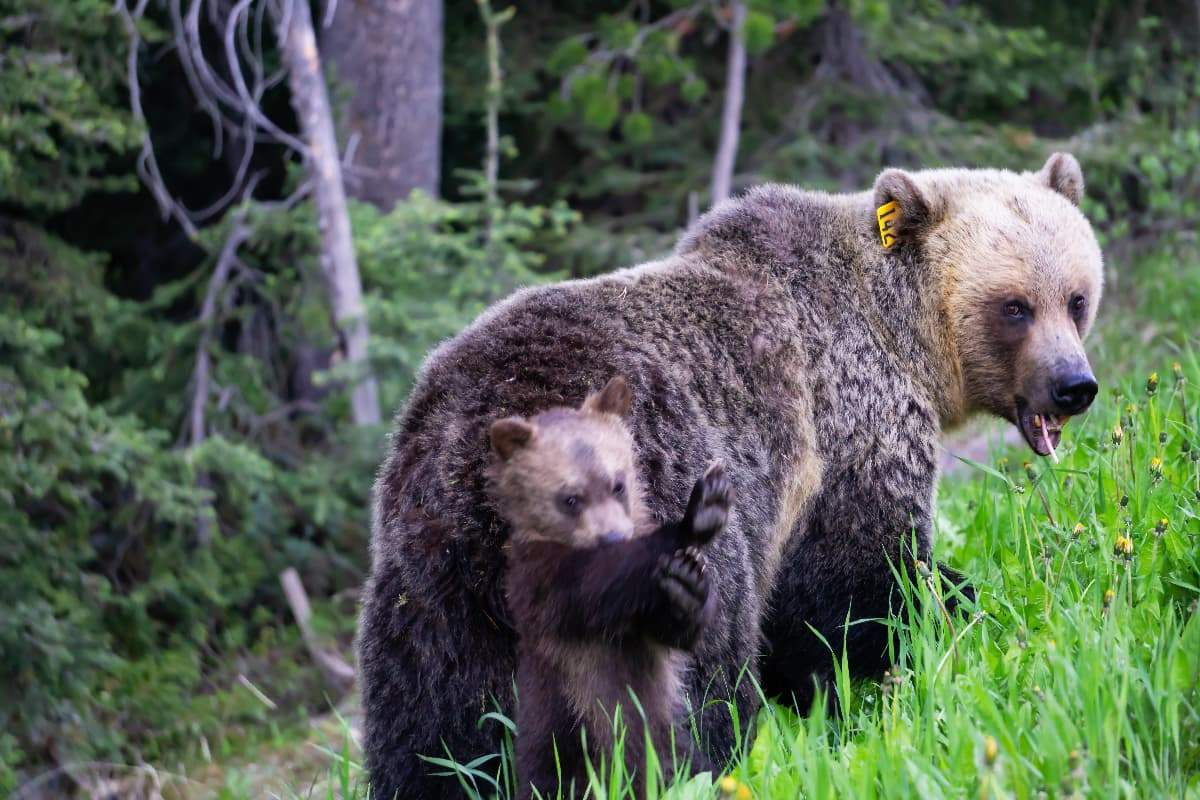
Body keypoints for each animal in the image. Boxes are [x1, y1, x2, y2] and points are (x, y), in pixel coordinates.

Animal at [487, 376, 729, 800]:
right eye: (569, 497)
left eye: (617, 483)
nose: (614, 535)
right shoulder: (542, 584)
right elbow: (597, 584)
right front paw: (695, 516)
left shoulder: (640, 628)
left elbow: (670, 631)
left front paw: (687, 585)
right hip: (562, 740)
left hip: (673, 747)